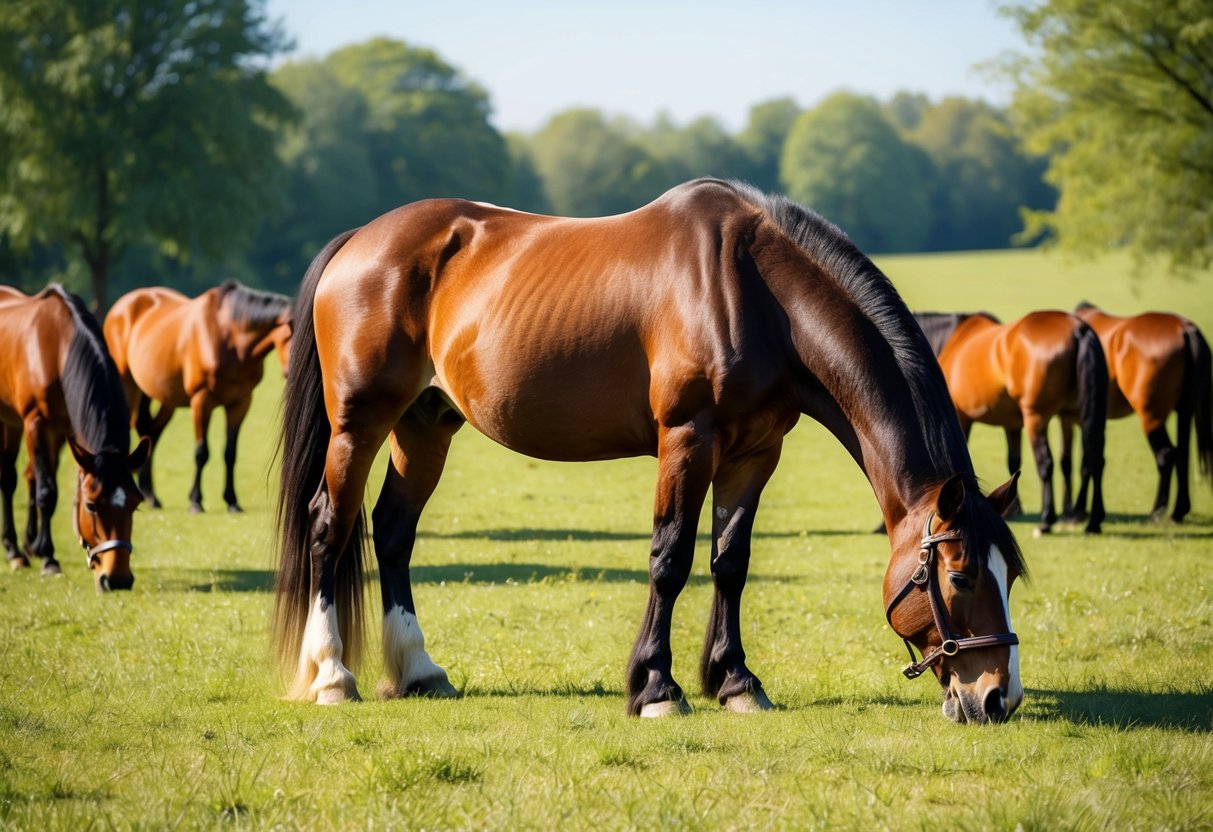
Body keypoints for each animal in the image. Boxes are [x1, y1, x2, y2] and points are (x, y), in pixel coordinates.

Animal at [0, 286, 150, 594]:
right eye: (91, 505)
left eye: (136, 503)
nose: (117, 579)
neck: (59, 351)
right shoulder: (36, 423)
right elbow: (47, 492)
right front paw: (49, 559)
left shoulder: (62, 430)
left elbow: (44, 482)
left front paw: (40, 548)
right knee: (9, 479)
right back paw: (14, 551)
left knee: (27, 475)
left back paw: (28, 545)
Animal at [103, 283, 291, 511]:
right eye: (290, 336)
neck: (230, 337)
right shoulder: (202, 401)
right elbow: (202, 452)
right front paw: (196, 500)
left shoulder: (240, 402)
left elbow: (230, 452)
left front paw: (232, 501)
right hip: (127, 386)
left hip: (165, 399)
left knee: (149, 434)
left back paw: (151, 497)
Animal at [272, 180, 1023, 722]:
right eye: (959, 576)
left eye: (1009, 575)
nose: (998, 697)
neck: (753, 292)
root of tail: (361, 240)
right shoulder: (687, 439)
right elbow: (671, 558)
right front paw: (656, 688)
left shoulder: (755, 453)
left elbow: (729, 563)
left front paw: (735, 682)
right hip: (358, 422)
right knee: (329, 525)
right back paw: (333, 675)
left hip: (425, 424)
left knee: (393, 531)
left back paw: (419, 671)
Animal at [917, 309, 1111, 538]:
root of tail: (1078, 329)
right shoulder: (1012, 424)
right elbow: (1014, 462)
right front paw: (1012, 508)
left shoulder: (961, 417)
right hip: (1076, 414)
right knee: (1094, 459)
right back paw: (1092, 520)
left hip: (1036, 418)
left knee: (1046, 463)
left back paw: (1047, 520)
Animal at [1077, 299, 1208, 521]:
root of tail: (1184, 327)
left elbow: (1087, 460)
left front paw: (1078, 510)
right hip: (1185, 409)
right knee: (1182, 453)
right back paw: (1179, 510)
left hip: (1151, 416)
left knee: (1166, 455)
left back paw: (1158, 511)